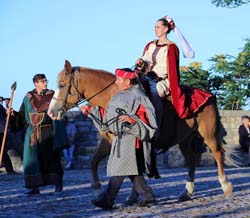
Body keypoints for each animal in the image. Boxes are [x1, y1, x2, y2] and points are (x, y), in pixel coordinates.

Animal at [49, 60, 233, 200]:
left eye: (61, 84)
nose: (51, 112)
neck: (112, 96)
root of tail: (209, 96)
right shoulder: (109, 140)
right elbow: (94, 161)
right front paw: (98, 190)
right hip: (185, 140)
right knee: (191, 161)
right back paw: (186, 192)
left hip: (208, 135)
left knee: (217, 153)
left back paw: (225, 185)